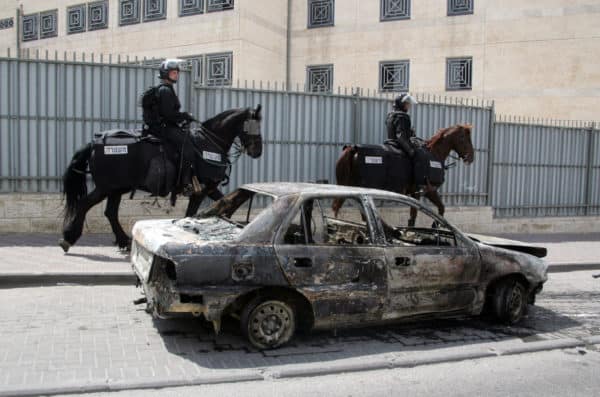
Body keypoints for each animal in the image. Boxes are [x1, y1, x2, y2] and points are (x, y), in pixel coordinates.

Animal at [60, 105, 262, 252]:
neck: (208, 143)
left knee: (110, 212)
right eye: (254, 127)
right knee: (84, 204)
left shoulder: (210, 188)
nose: (258, 152)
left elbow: (223, 202)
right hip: (106, 188)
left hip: (116, 188)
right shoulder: (201, 190)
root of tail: (93, 144)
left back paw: (123, 240)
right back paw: (69, 237)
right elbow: (192, 212)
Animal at [332, 122, 474, 224]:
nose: (471, 158)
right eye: (464, 138)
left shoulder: (426, 192)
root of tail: (353, 148)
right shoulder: (423, 192)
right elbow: (415, 216)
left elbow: (441, 208)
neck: (433, 154)